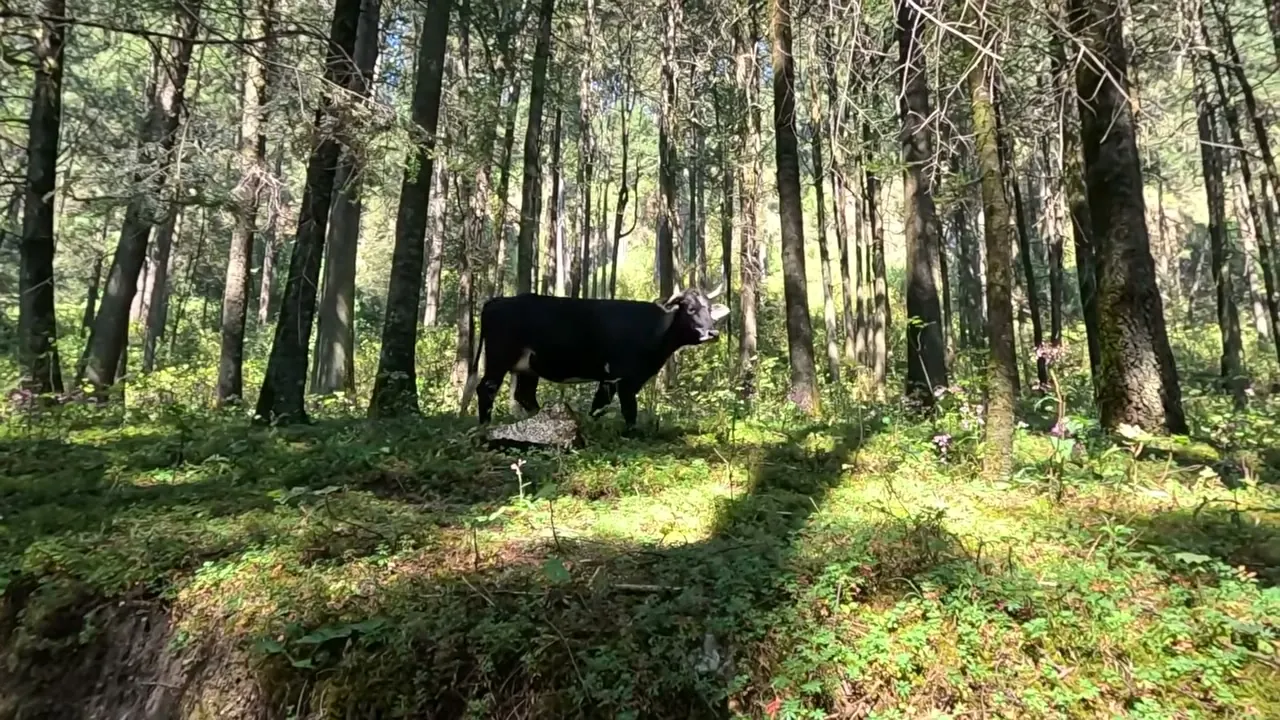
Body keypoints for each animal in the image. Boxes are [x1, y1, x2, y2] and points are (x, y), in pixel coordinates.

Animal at [460, 285, 730, 431]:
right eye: (690, 309)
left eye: (709, 310)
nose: (712, 333)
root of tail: (497, 300)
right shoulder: (620, 377)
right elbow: (625, 409)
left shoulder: (620, 378)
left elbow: (600, 406)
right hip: (499, 358)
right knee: (487, 388)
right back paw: (484, 425)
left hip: (528, 367)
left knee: (524, 395)